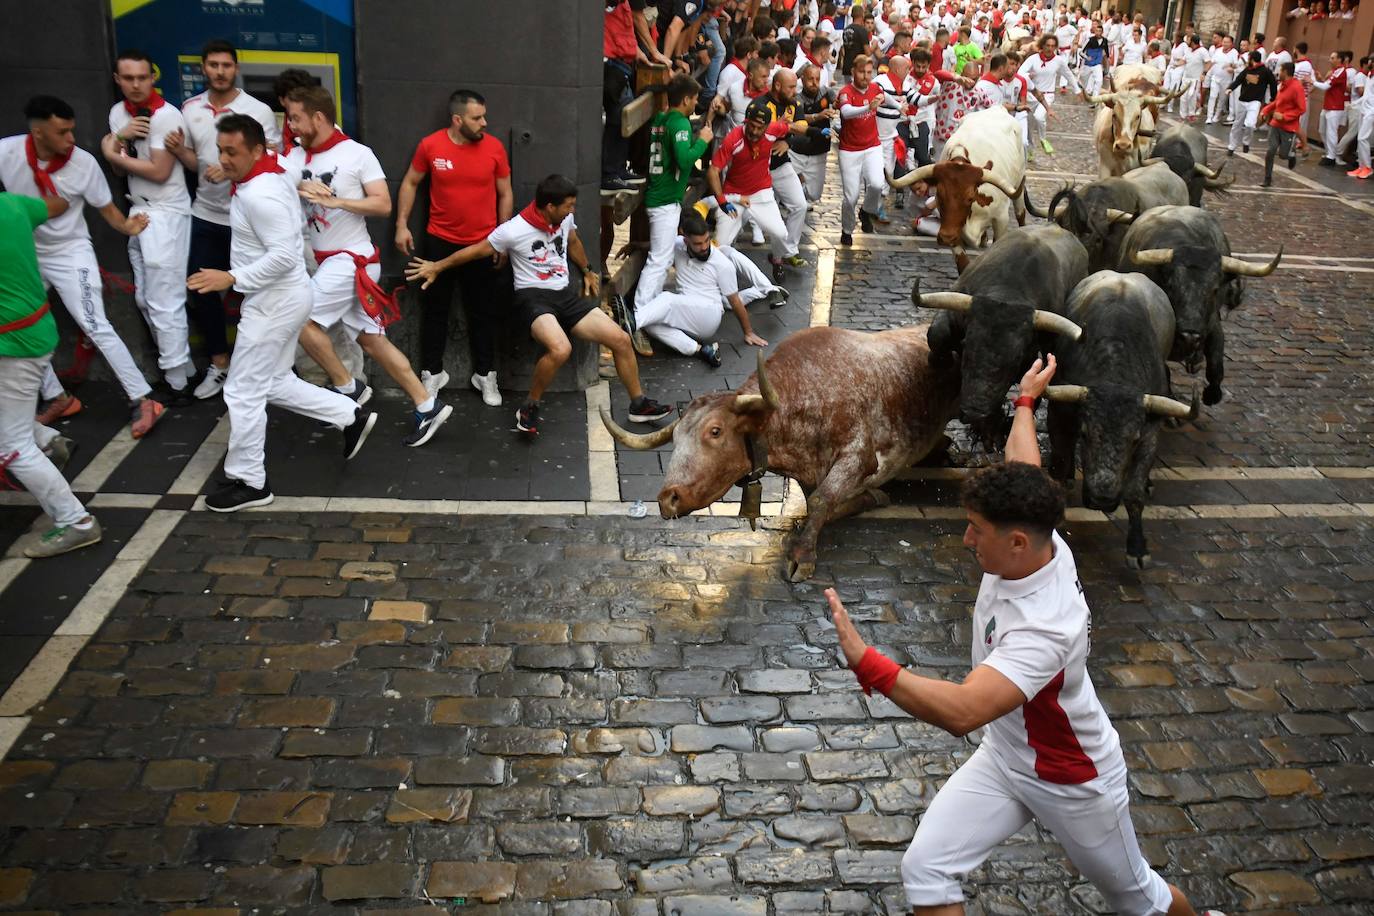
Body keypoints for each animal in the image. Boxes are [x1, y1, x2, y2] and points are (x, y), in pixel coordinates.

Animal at [596, 333, 961, 585]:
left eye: (715, 431)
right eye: (675, 439)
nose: (667, 498)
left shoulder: (859, 456)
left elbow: (821, 500)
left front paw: (803, 554)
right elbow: (819, 502)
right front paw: (868, 498)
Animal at [884, 106, 1027, 271]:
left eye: (970, 197)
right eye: (939, 195)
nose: (946, 237)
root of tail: (998, 108)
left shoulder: (1001, 219)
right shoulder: (952, 225)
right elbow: (962, 263)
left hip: (1017, 185)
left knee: (1020, 213)